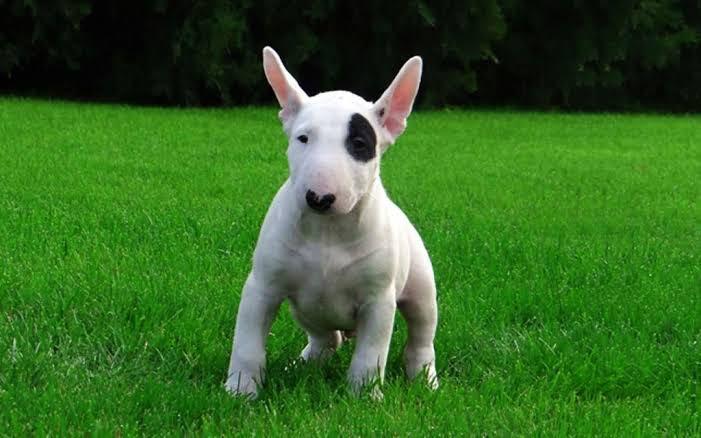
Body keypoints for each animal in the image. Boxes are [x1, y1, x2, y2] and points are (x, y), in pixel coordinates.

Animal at [225, 47, 438, 399]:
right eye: (303, 138)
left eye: (359, 144)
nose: (319, 198)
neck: (327, 231)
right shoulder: (262, 287)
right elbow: (247, 343)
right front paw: (240, 390)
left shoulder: (378, 301)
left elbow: (370, 355)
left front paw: (364, 397)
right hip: (308, 311)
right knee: (327, 338)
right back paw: (304, 363)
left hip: (422, 288)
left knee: (421, 336)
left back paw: (425, 378)